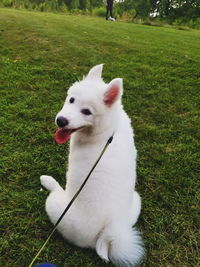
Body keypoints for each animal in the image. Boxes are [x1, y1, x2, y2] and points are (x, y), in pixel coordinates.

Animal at [40, 64, 144, 266]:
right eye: (71, 100)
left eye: (86, 112)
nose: (60, 121)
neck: (106, 132)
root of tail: (107, 231)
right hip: (136, 200)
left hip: (56, 206)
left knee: (55, 192)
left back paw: (48, 181)